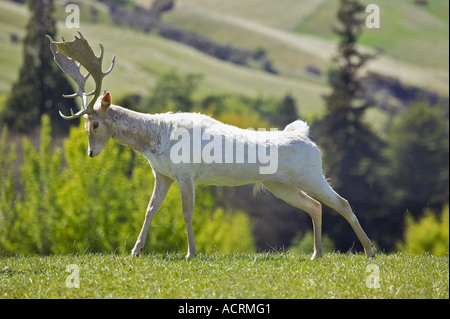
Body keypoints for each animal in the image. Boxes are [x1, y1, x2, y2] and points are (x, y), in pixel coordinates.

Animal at [47, 33, 374, 262]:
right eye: (85, 126)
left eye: (95, 125)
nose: (91, 153)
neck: (157, 140)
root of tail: (307, 137)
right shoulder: (162, 174)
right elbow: (150, 210)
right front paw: (135, 251)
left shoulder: (186, 173)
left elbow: (187, 212)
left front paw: (191, 252)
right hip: (279, 184)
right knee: (315, 206)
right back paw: (316, 253)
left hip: (311, 174)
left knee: (342, 202)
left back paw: (369, 250)